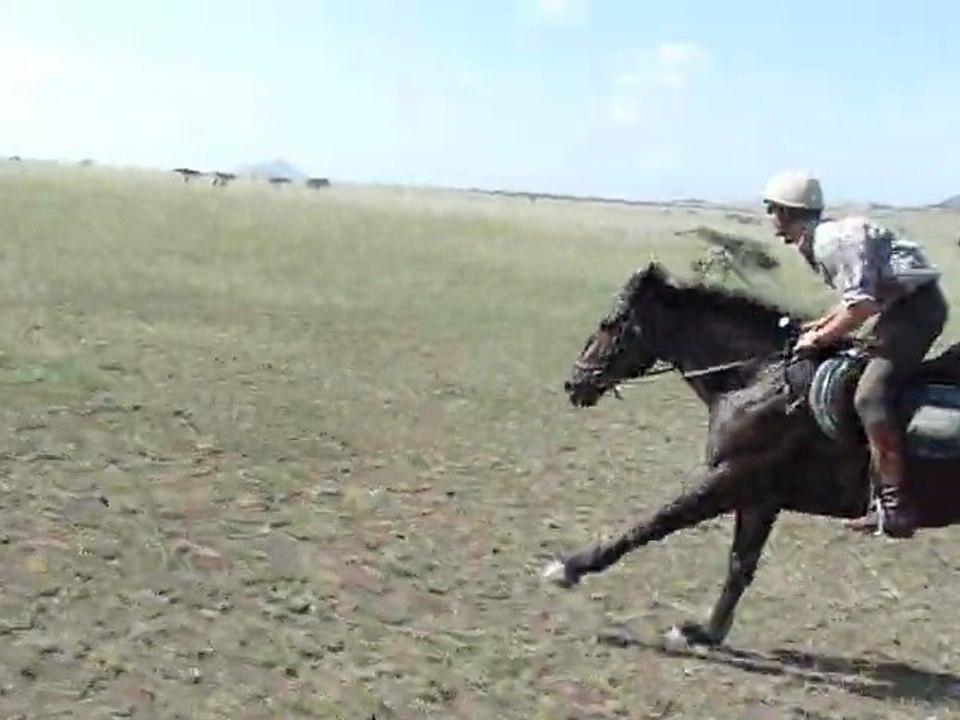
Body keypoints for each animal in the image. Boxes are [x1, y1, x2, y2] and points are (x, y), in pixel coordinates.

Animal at [545, 261, 960, 649]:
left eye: (610, 322)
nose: (574, 382)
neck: (758, 378)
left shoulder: (729, 480)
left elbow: (655, 522)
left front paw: (568, 568)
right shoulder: (760, 499)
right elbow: (739, 566)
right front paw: (705, 633)